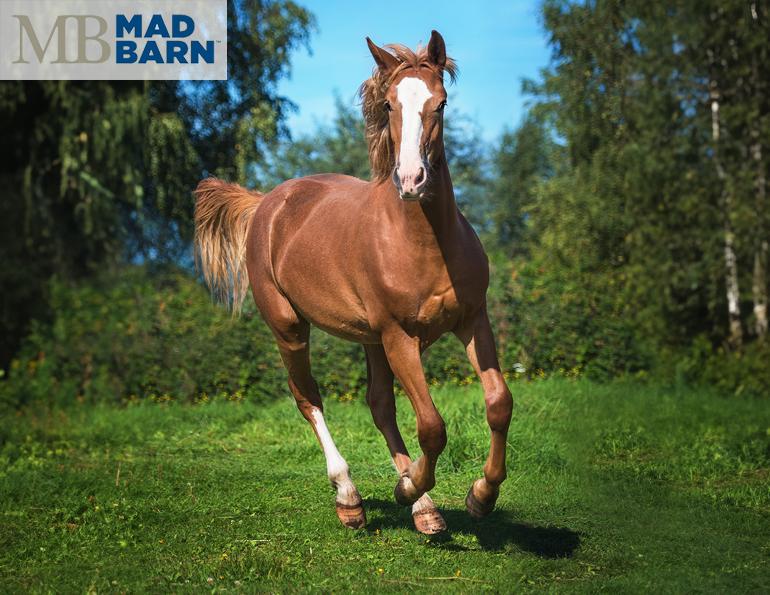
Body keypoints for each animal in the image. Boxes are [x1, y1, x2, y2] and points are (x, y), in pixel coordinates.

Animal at [194, 30, 513, 535]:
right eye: (388, 105)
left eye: (440, 103)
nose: (411, 180)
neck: (422, 243)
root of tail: (267, 202)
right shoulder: (400, 336)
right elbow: (432, 426)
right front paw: (408, 489)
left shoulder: (471, 320)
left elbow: (498, 402)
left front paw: (481, 496)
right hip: (290, 328)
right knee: (308, 399)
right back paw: (351, 497)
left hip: (370, 340)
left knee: (379, 405)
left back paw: (423, 510)